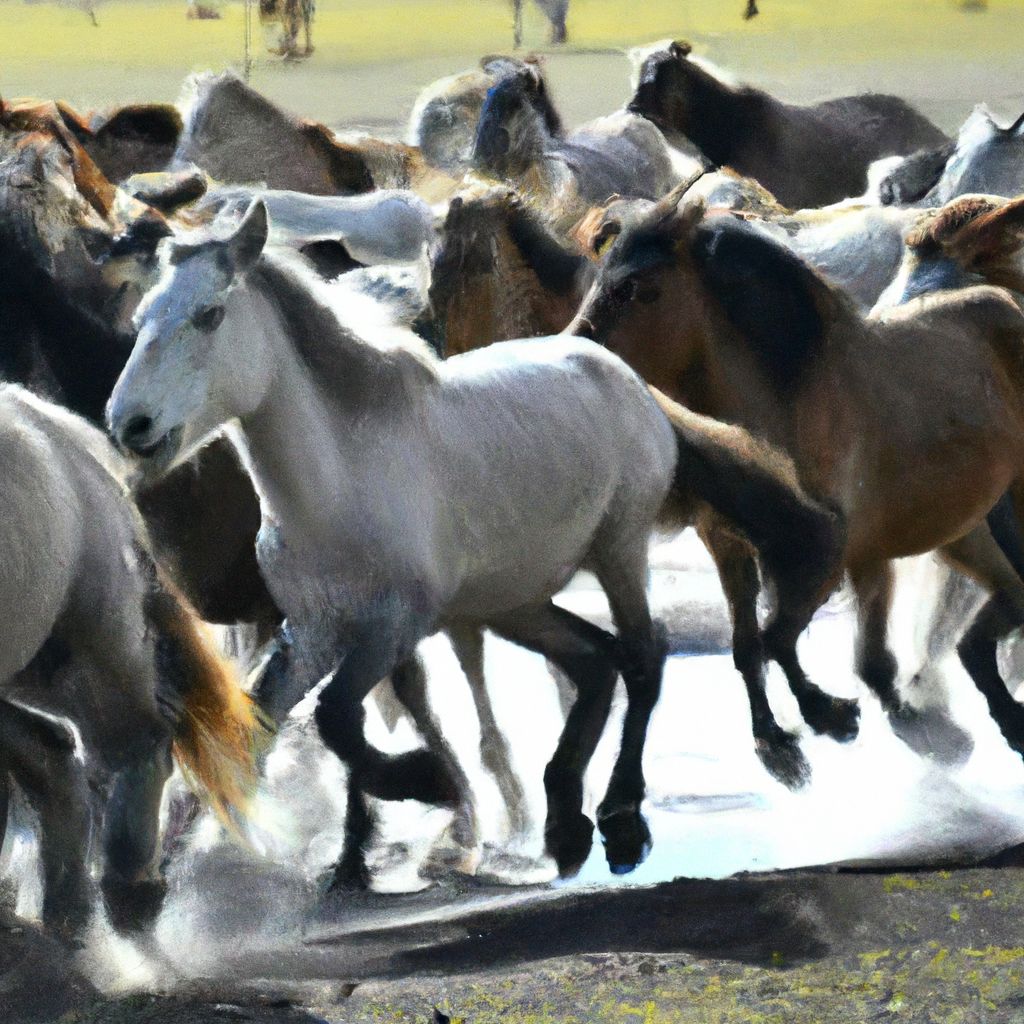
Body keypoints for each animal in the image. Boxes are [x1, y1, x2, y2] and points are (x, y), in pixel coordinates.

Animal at [110, 199, 847, 888]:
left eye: (209, 314)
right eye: (141, 317)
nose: (129, 425)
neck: (341, 477)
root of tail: (629, 381)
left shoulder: (394, 622)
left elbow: (337, 717)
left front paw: (425, 782)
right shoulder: (314, 632)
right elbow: (260, 726)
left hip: (617, 549)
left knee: (641, 655)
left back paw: (619, 819)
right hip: (511, 601)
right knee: (593, 661)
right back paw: (563, 820)